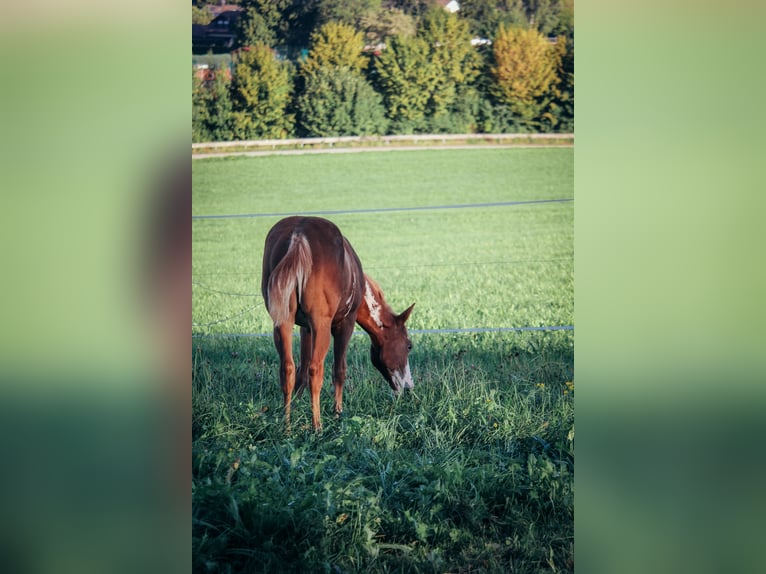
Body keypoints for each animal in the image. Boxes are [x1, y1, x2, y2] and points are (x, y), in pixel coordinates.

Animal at [262, 217, 420, 432]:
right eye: (409, 346)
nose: (408, 387)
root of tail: (299, 234)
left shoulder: (306, 328)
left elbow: (301, 371)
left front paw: (297, 406)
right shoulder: (345, 324)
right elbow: (339, 370)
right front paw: (338, 413)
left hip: (283, 323)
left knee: (288, 369)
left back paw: (286, 427)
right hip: (322, 326)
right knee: (316, 370)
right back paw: (317, 426)